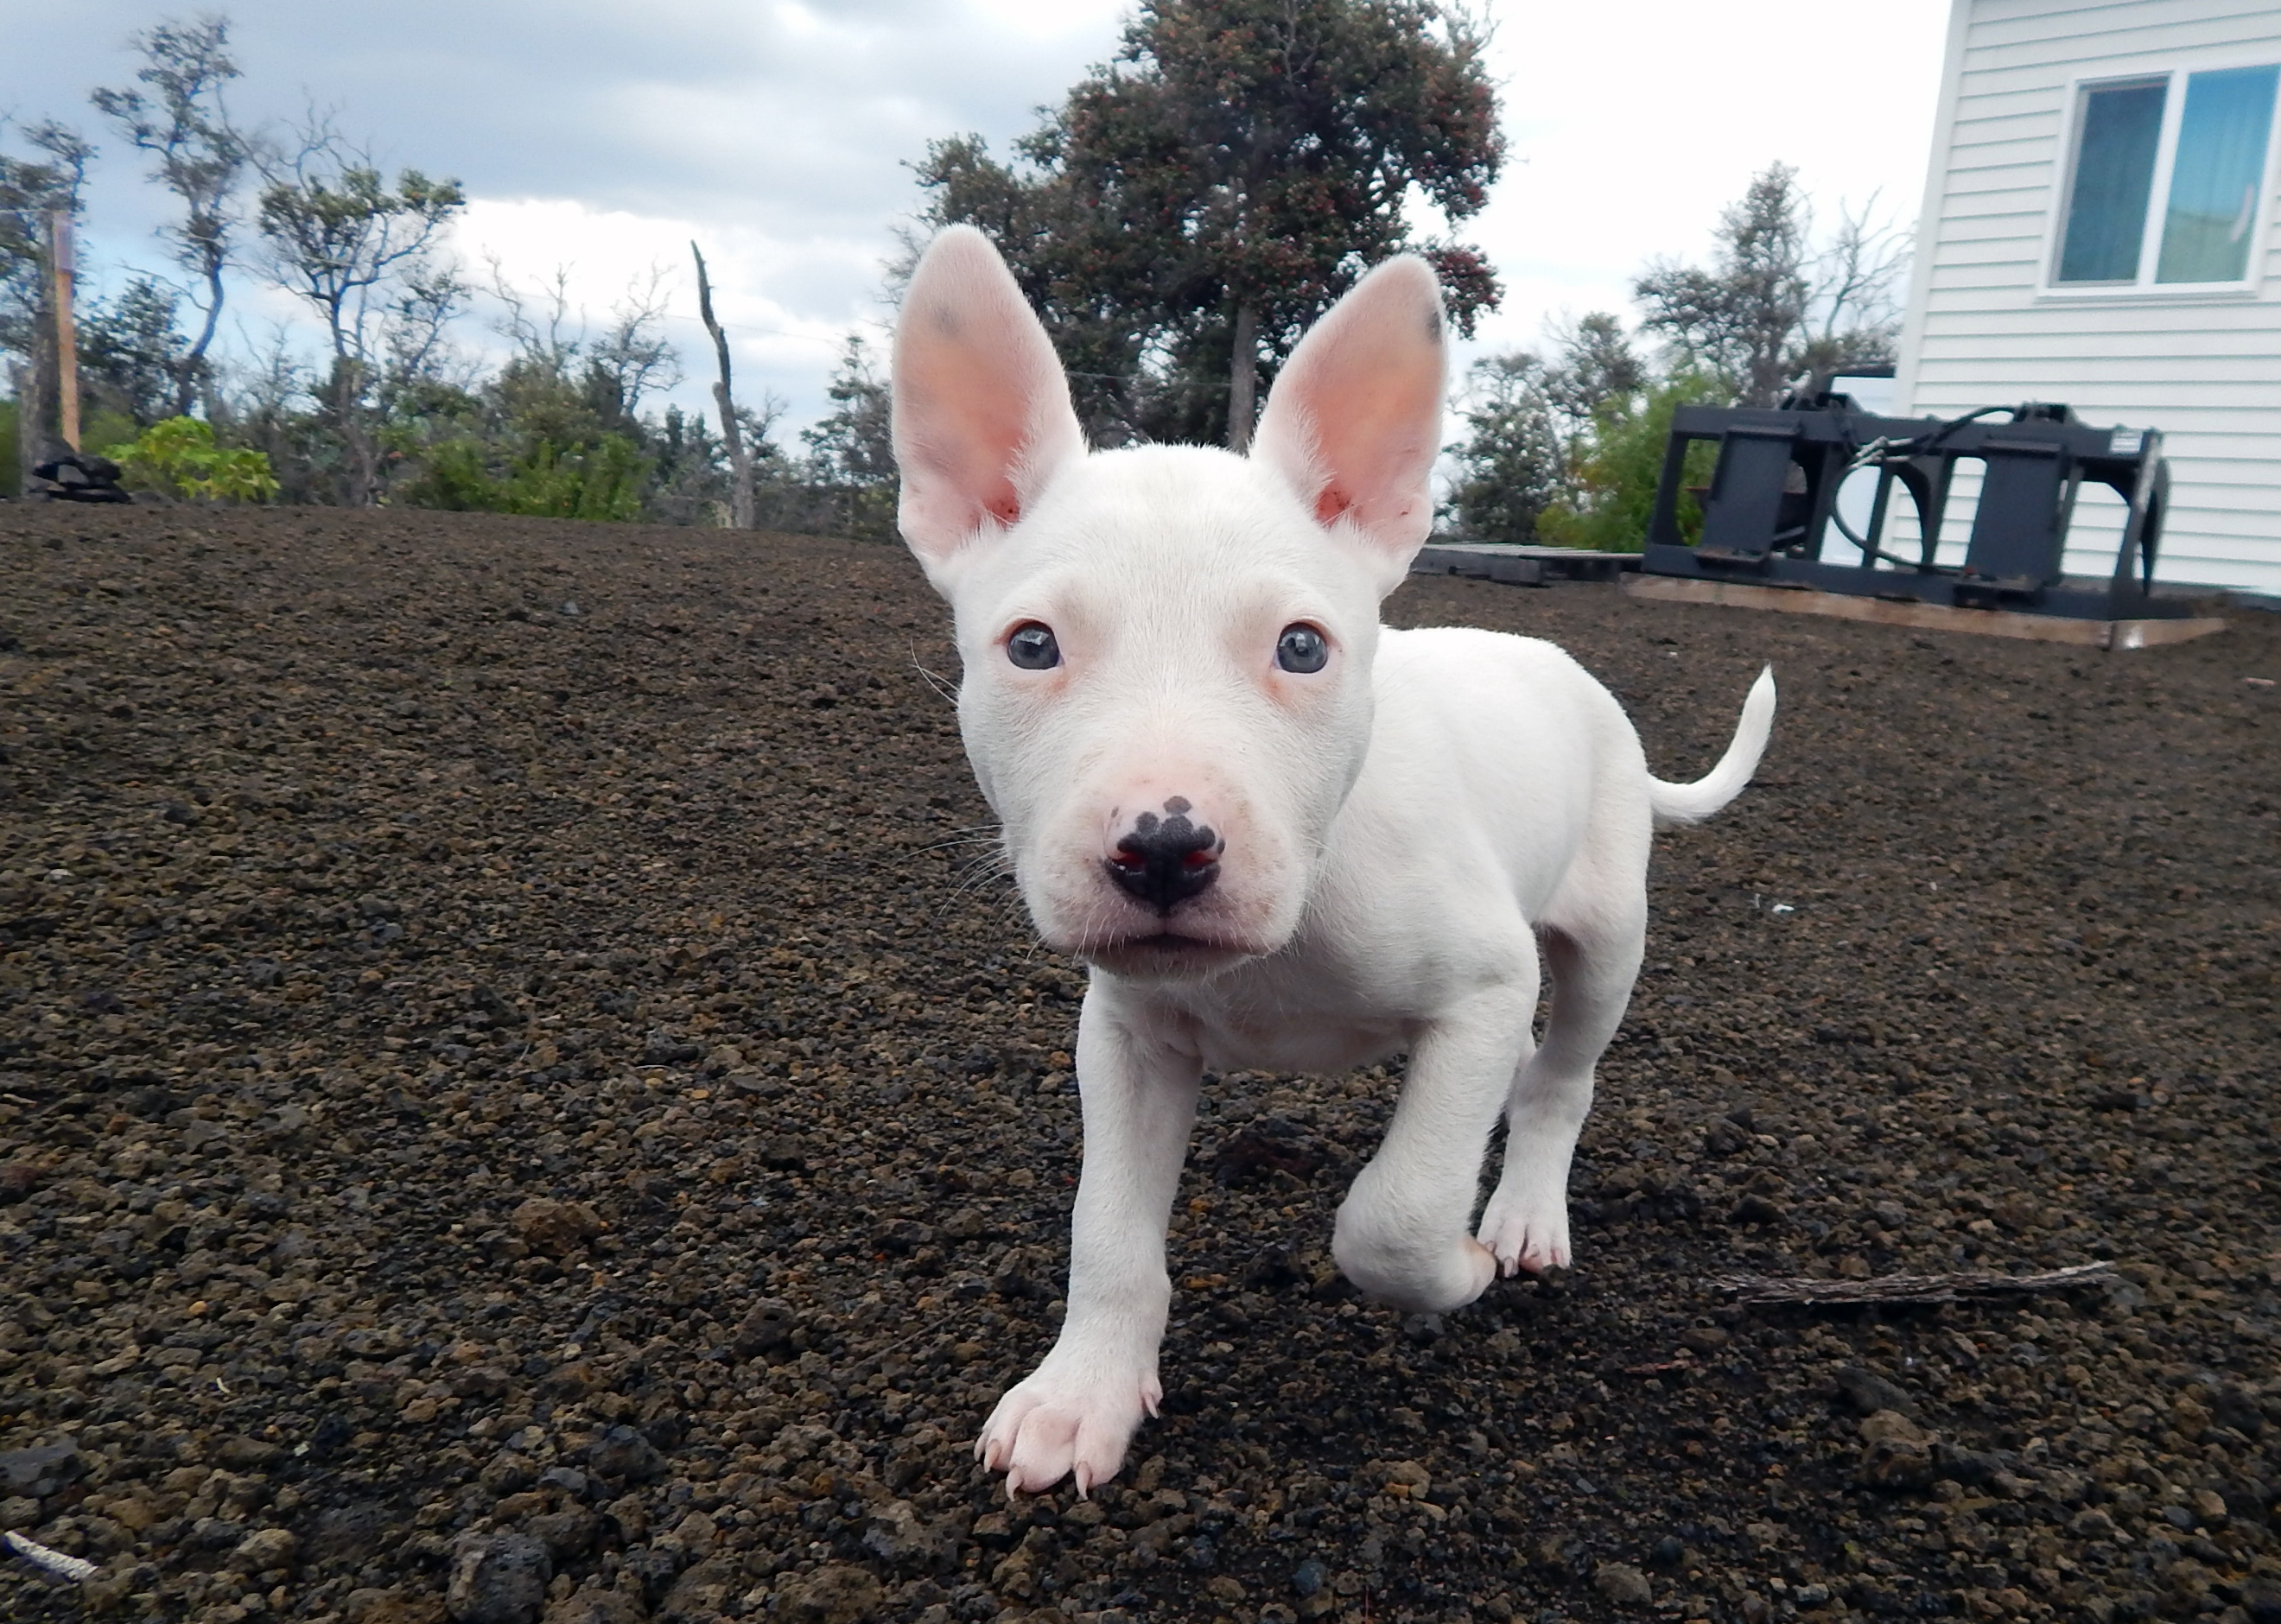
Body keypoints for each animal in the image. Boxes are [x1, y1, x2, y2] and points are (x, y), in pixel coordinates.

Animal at [885, 228, 1761, 1496]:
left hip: (1605, 935)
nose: (1165, 848)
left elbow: (1393, 1211)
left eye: (1302, 648)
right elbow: (1107, 1231)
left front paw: (1455, 1269)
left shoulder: (1485, 989)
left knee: (1562, 1077)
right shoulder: (1127, 1038)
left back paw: (1523, 1218)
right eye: (1032, 645)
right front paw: (1081, 1394)